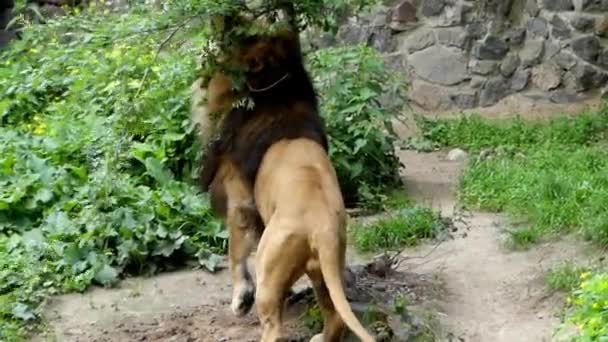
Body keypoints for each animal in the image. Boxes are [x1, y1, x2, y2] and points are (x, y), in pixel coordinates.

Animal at [195, 18, 376, 342]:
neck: (275, 95)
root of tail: (323, 228)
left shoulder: (239, 197)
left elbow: (235, 253)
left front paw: (240, 299)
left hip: (269, 263)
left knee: (275, 328)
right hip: (324, 271)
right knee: (336, 317)